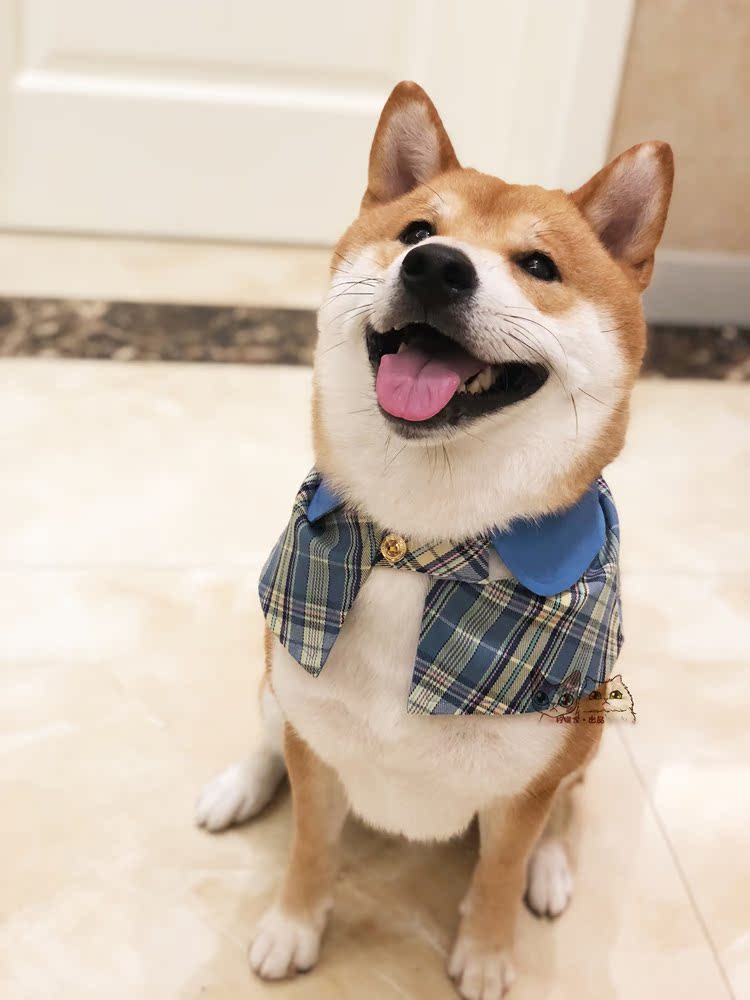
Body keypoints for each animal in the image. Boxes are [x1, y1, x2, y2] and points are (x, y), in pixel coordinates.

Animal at [196, 81, 673, 998]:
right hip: (279, 685)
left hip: (590, 734)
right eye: (417, 231)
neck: (419, 550)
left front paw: (487, 951)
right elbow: (309, 846)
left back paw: (551, 871)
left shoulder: (528, 782)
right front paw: (293, 924)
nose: (437, 267)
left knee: (569, 809)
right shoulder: (317, 742)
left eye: (539, 266)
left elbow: (498, 867)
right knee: (268, 731)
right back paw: (236, 787)